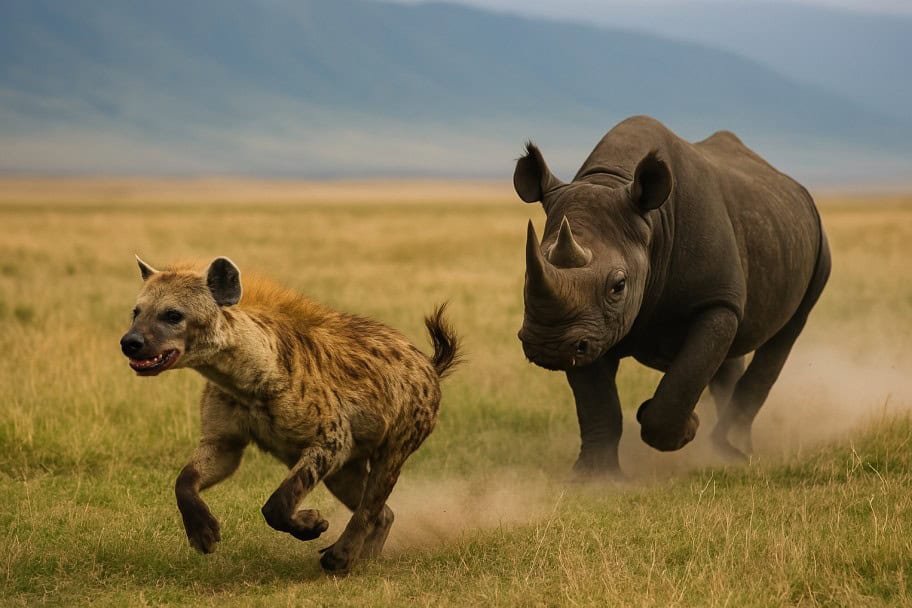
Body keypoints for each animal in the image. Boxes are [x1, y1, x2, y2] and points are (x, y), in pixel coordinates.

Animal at [515, 115, 830, 474]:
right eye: (527, 274)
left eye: (618, 286)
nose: (547, 346)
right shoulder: (583, 324)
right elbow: (597, 402)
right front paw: (593, 478)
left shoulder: (716, 300)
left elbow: (687, 375)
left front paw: (682, 428)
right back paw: (723, 444)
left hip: (820, 245)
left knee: (787, 332)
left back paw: (733, 450)